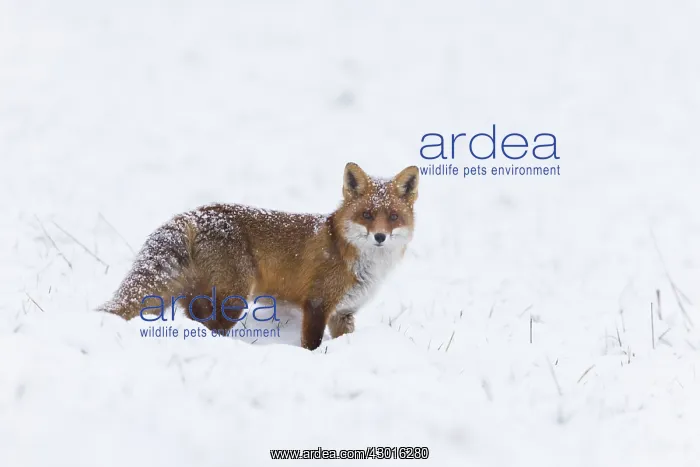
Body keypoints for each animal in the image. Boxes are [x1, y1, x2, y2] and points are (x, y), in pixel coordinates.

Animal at [99, 162, 419, 350]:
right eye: (367, 215)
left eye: (393, 217)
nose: (380, 237)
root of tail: (197, 213)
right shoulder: (317, 305)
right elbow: (312, 344)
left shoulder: (344, 314)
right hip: (235, 298)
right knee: (209, 325)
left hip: (204, 293)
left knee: (194, 316)